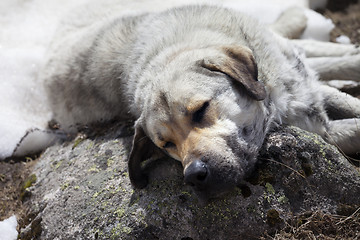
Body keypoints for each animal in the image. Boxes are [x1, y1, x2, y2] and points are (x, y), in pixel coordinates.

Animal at [43, 5, 360, 201]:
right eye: (166, 145)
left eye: (201, 110)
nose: (194, 175)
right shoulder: (319, 125)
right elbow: (349, 124)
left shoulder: (303, 86)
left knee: (311, 49)